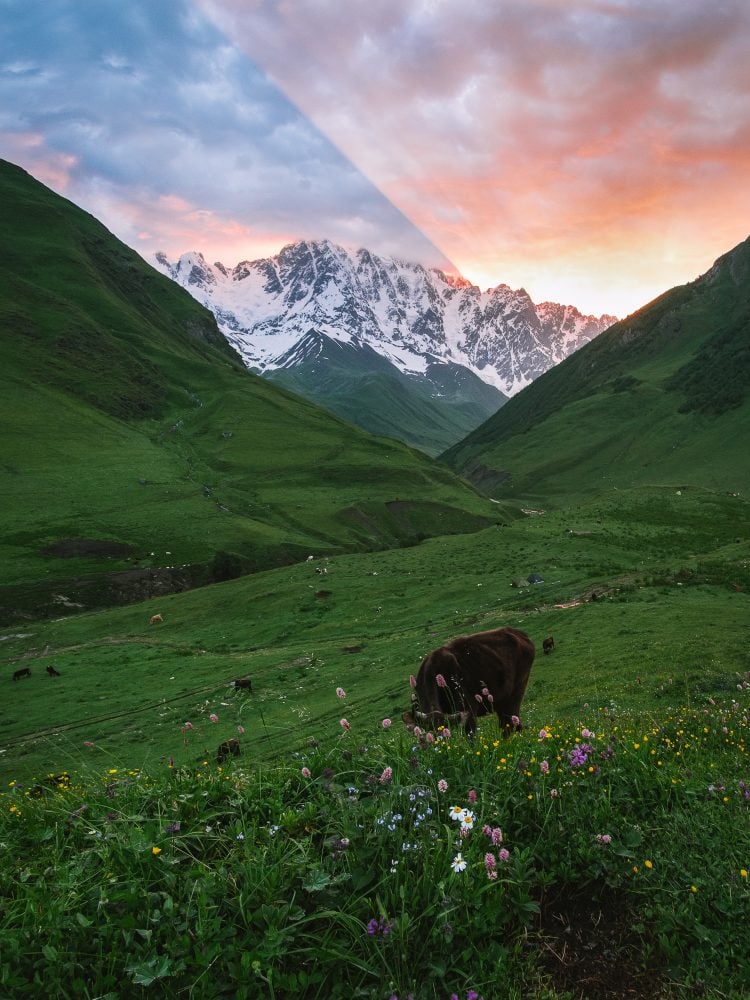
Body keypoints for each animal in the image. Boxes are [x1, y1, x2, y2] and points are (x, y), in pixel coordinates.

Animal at [402, 628, 536, 740]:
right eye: (424, 736)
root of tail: (519, 634)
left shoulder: (469, 711)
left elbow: (470, 738)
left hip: (517, 692)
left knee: (510, 723)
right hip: (500, 701)